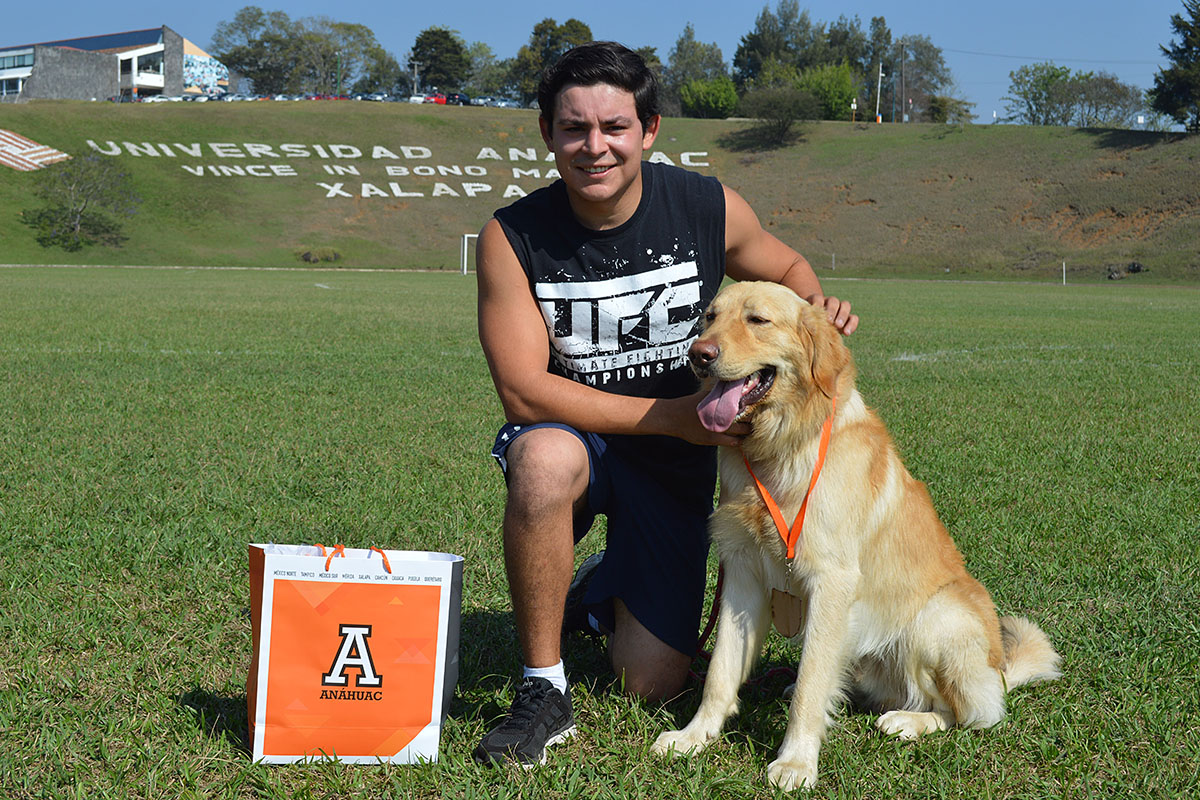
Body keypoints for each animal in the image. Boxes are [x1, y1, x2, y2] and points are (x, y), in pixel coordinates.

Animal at [657, 280, 1060, 786]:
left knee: (966, 712)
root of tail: (999, 669)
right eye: (709, 317)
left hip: (937, 619)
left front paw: (796, 761)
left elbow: (812, 686)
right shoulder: (743, 575)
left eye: (758, 320)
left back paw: (909, 721)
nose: (699, 354)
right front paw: (694, 736)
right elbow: (720, 672)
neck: (782, 446)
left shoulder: (832, 582)